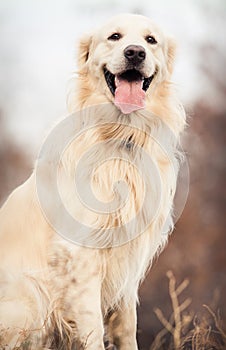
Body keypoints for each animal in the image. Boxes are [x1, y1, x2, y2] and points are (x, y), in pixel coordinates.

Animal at [0, 13, 185, 348]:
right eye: (115, 37)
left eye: (151, 40)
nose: (135, 53)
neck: (121, 136)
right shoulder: (82, 256)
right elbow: (94, 328)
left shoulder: (128, 261)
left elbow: (126, 328)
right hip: (30, 300)